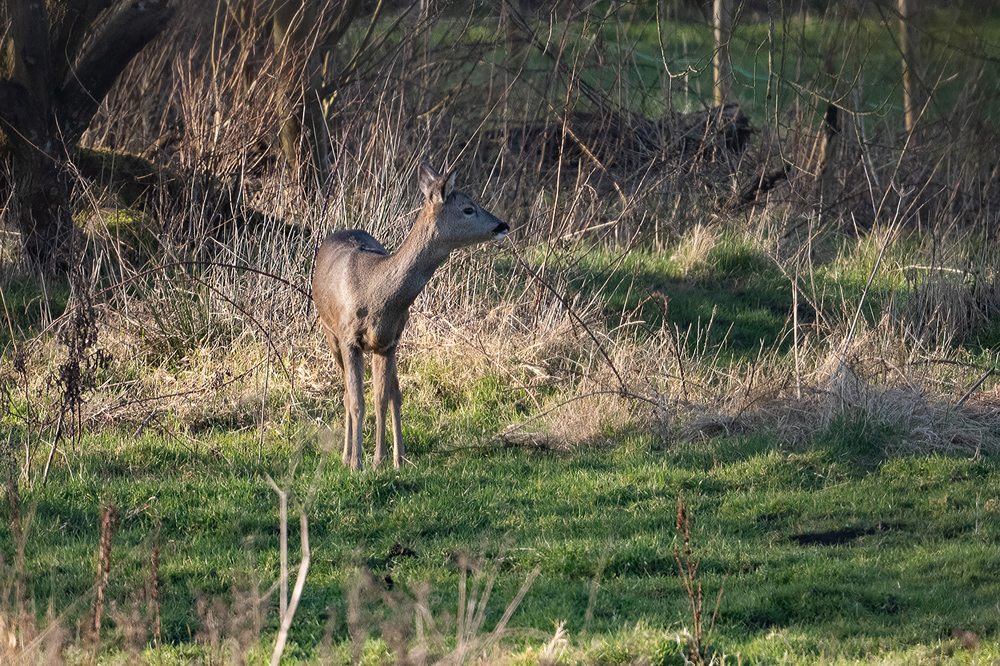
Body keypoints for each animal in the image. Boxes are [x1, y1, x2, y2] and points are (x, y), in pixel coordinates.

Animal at [314, 163, 508, 470]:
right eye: (468, 208)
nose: (502, 225)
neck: (375, 290)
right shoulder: (348, 338)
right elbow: (357, 402)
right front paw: (357, 463)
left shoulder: (388, 342)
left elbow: (381, 398)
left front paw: (379, 459)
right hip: (328, 332)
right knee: (346, 394)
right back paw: (347, 456)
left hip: (395, 340)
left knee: (395, 393)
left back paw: (399, 456)